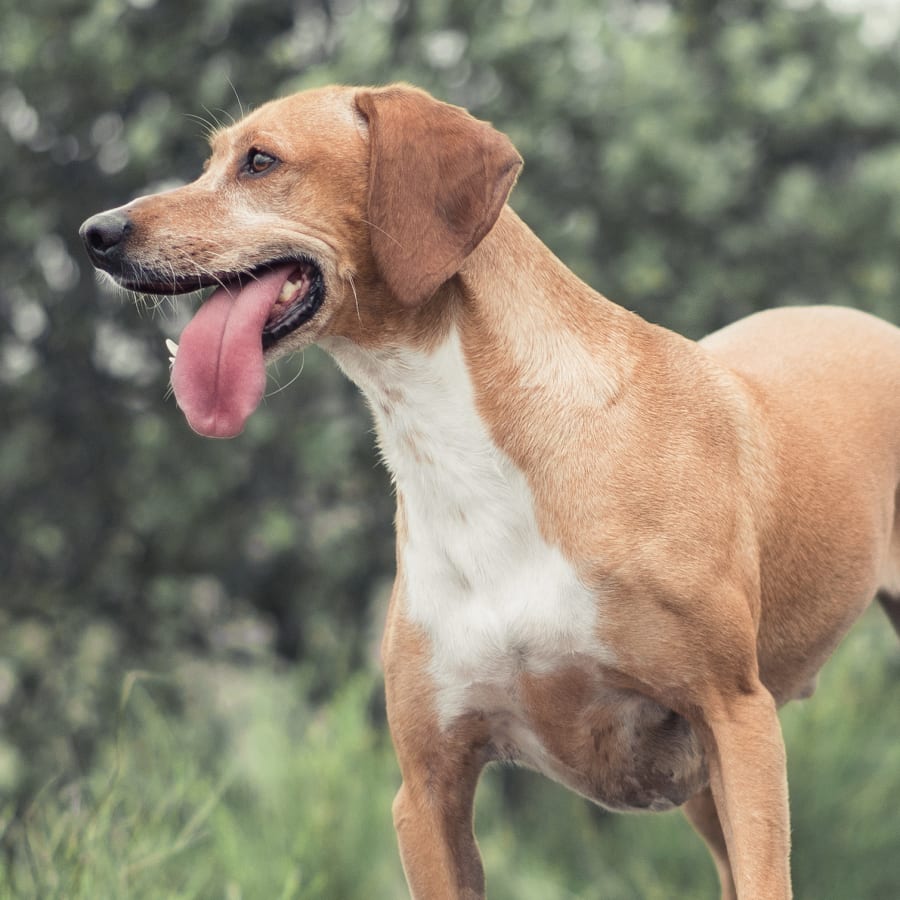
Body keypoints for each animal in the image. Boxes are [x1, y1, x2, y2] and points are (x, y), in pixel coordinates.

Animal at [79, 82, 900, 892]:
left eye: (259, 161)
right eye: (209, 159)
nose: (95, 232)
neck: (465, 458)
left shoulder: (737, 722)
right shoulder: (429, 787)